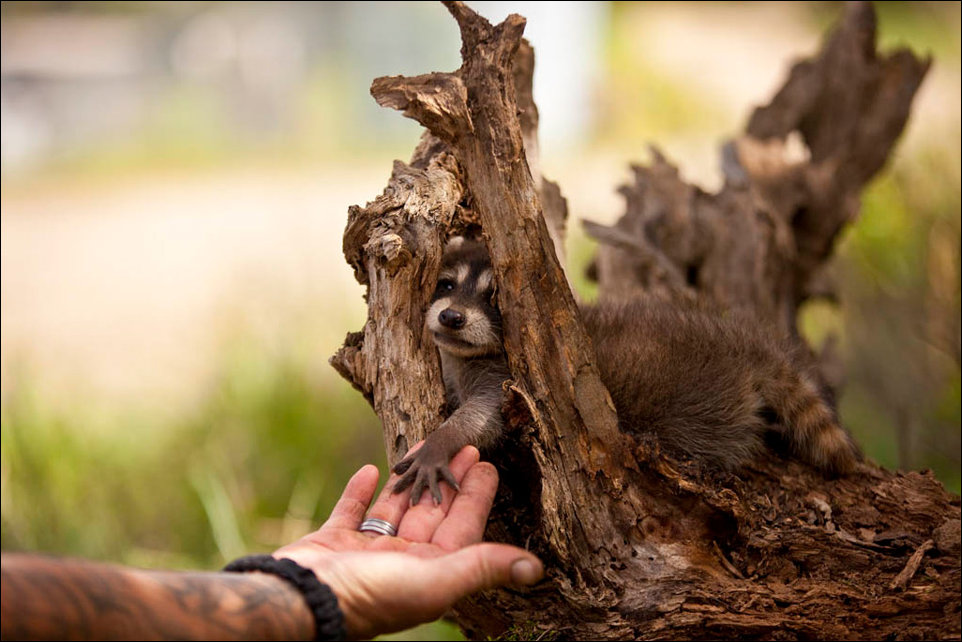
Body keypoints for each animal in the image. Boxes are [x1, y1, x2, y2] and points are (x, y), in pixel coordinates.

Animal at [394, 238, 860, 502]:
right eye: (447, 285)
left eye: (494, 298)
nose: (452, 318)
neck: (468, 355)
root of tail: (739, 343)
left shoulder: (511, 380)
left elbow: (483, 417)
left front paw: (441, 442)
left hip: (698, 404)